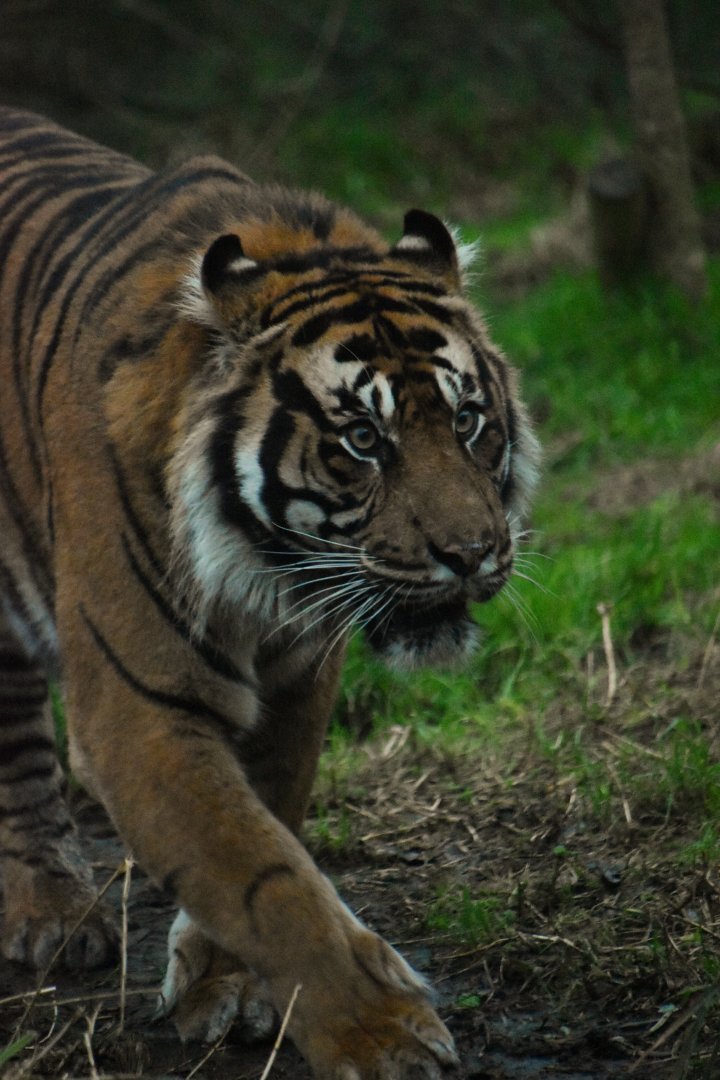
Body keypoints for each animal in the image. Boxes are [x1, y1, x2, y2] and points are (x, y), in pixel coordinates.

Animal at [0, 106, 539, 1078]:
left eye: (468, 418)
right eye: (363, 439)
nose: (472, 553)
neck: (262, 571)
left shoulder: (299, 676)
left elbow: (267, 820)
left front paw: (224, 985)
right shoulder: (141, 706)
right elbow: (255, 869)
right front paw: (380, 1031)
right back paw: (51, 913)